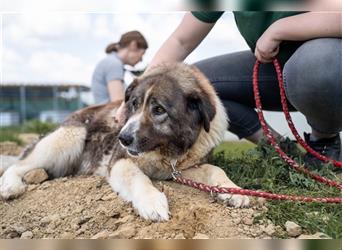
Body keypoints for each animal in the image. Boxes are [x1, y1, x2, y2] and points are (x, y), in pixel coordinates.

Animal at [1, 63, 250, 221]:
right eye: (134, 104)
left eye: (159, 110)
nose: (122, 138)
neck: (166, 151)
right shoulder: (120, 162)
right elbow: (138, 178)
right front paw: (152, 202)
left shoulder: (182, 170)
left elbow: (214, 169)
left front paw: (234, 190)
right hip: (68, 139)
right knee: (18, 165)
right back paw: (11, 186)